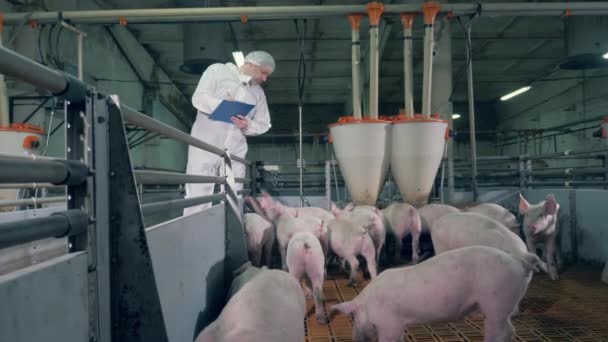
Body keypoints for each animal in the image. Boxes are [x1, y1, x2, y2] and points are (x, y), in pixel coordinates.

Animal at [332, 246, 548, 342]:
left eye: (353, 317)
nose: (355, 338)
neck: (368, 303)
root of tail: (519, 260)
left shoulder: (390, 324)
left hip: (497, 300)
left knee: (501, 330)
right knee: (509, 329)